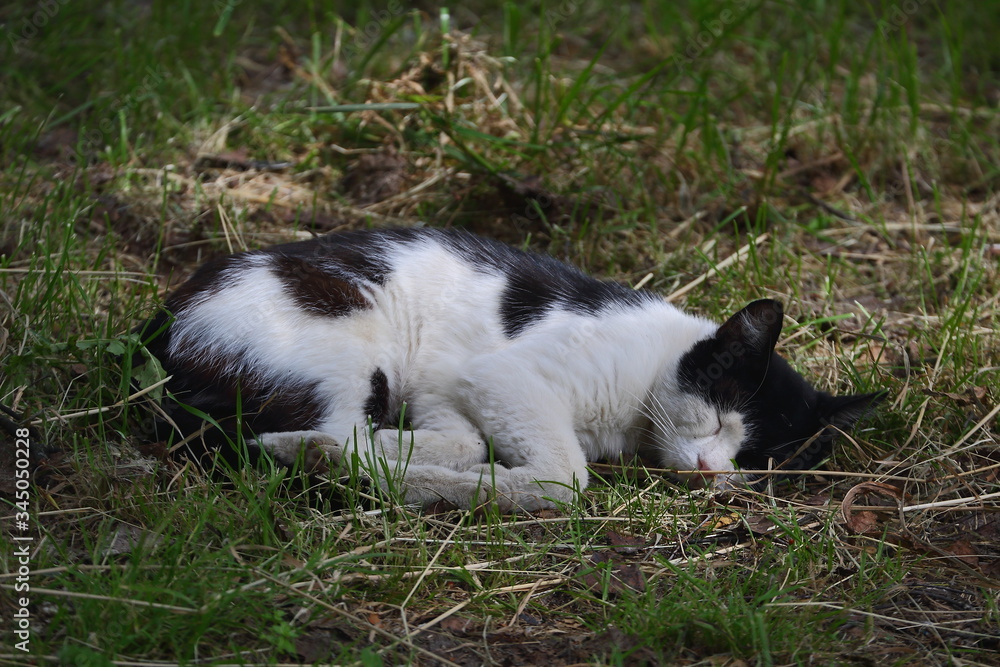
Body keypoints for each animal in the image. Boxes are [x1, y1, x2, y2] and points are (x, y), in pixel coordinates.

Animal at [139, 227, 884, 516]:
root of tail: (164, 319)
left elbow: (465, 437)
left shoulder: (452, 387)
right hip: (345, 343)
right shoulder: (506, 376)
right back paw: (327, 460)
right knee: (327, 436)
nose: (711, 471)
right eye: (720, 418)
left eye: (758, 459)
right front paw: (502, 485)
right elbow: (566, 478)